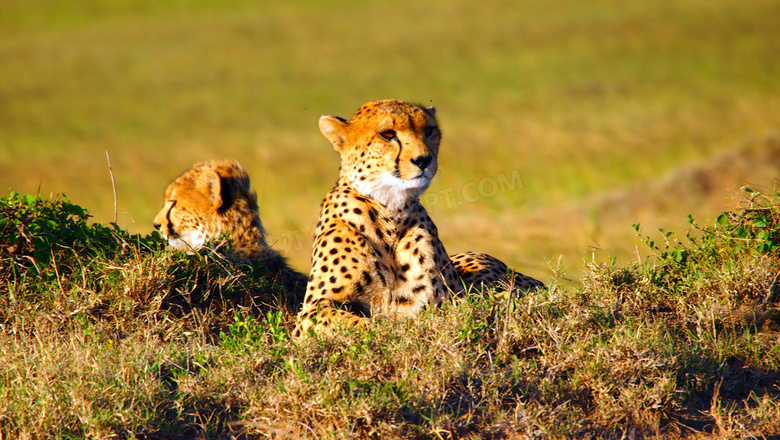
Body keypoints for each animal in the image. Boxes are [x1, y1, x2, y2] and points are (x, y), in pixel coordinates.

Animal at [296, 98, 544, 336]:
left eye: (429, 130)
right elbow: (361, 324)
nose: (423, 160)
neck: (390, 211)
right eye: (387, 134)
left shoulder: (440, 303)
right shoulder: (312, 310)